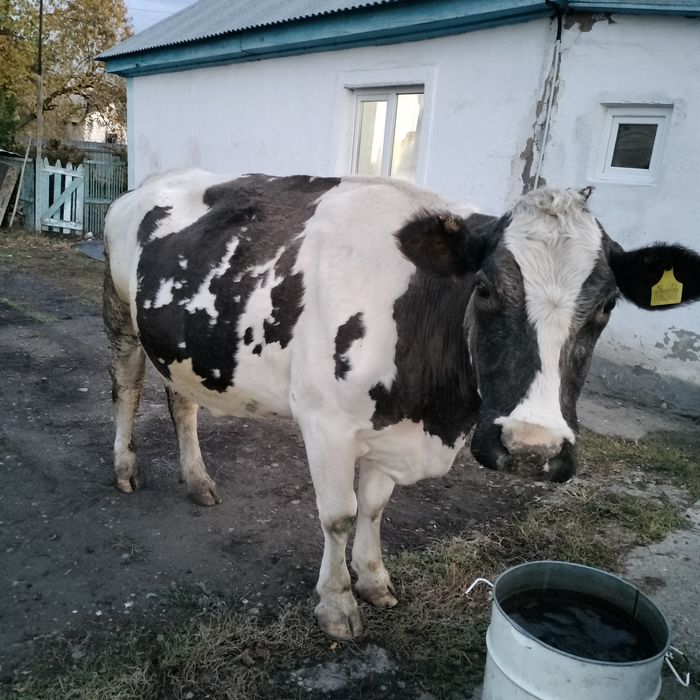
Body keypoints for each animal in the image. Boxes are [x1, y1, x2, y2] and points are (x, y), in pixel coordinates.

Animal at [103, 170, 700, 639]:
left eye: (607, 305)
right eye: (484, 288)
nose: (532, 448)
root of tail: (144, 185)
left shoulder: (390, 431)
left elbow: (373, 507)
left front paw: (374, 581)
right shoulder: (325, 422)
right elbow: (339, 515)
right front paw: (337, 605)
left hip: (180, 344)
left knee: (182, 403)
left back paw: (198, 480)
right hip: (121, 317)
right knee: (126, 388)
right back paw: (125, 468)